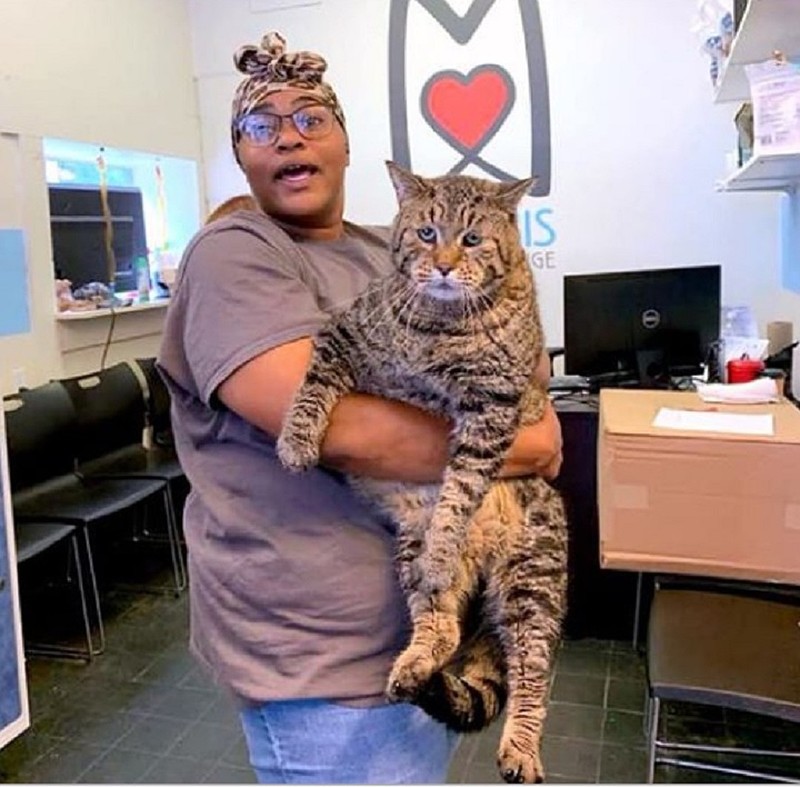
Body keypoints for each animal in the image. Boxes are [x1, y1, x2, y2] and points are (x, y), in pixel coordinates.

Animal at [278, 162, 564, 780]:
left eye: (472, 239)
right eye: (428, 233)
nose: (446, 265)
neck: (442, 329)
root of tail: (483, 561)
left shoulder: (492, 411)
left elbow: (460, 493)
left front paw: (446, 540)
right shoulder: (342, 337)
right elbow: (312, 387)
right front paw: (295, 439)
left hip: (535, 579)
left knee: (532, 671)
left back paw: (521, 748)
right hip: (411, 550)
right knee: (442, 623)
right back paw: (414, 666)